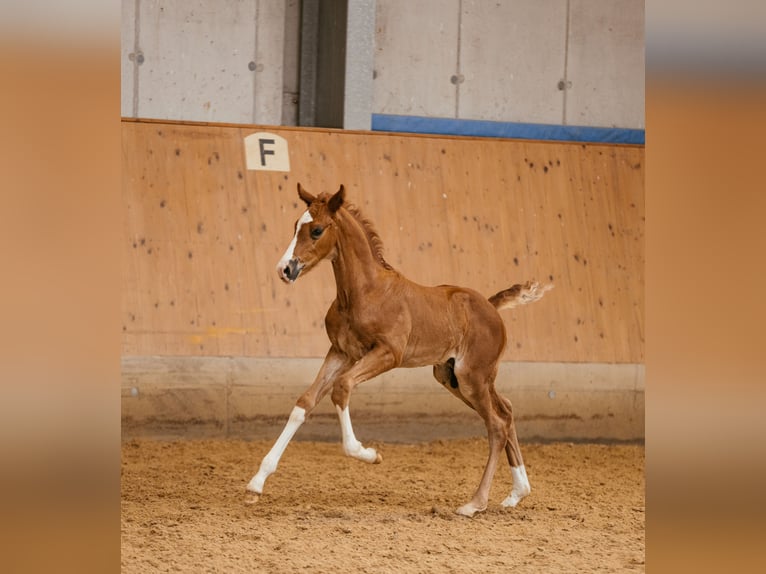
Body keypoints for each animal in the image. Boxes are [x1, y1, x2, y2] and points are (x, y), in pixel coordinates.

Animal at [248, 187, 552, 520]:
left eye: (316, 230)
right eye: (295, 227)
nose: (285, 269)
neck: (365, 292)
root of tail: (490, 305)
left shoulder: (387, 354)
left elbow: (342, 388)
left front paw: (369, 454)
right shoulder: (340, 352)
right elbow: (304, 403)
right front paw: (256, 482)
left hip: (471, 377)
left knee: (496, 425)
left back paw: (475, 503)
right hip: (454, 377)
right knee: (506, 410)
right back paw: (517, 493)